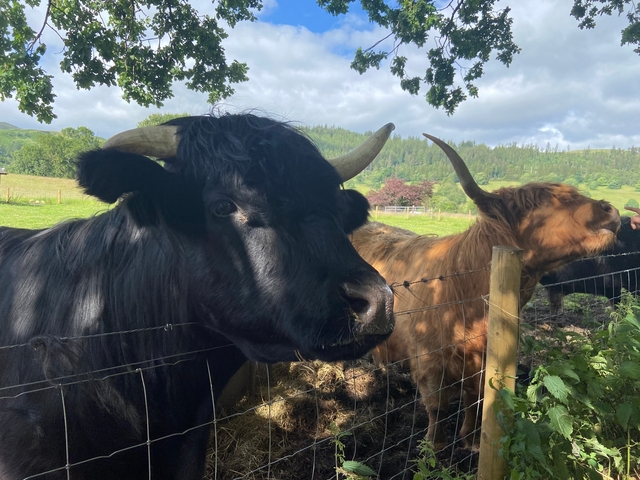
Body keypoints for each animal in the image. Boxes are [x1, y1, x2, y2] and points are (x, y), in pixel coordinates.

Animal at [351, 134, 620, 450]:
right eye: (544, 201)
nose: (610, 209)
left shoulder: (483, 358)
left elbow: (475, 398)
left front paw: (472, 439)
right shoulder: (428, 359)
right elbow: (437, 406)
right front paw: (434, 445)